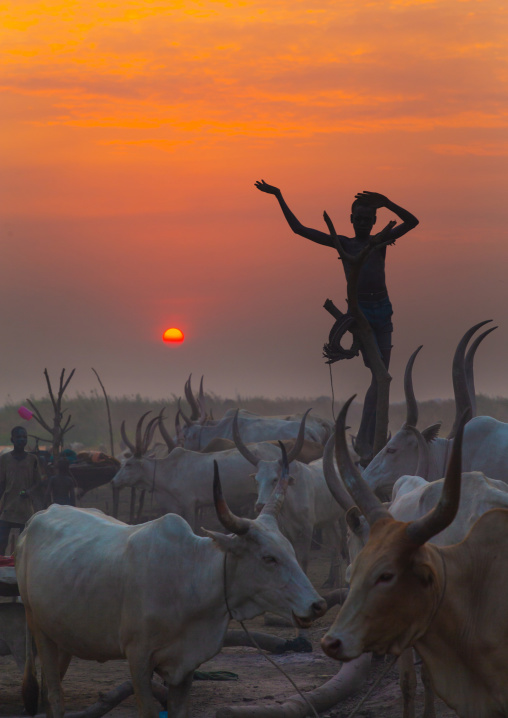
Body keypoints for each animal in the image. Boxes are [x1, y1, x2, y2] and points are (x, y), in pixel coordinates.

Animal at [17, 450, 327, 718]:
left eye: (290, 550)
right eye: (268, 558)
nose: (318, 605)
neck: (189, 577)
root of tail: (38, 515)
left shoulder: (185, 667)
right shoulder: (138, 658)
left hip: (64, 633)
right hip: (37, 627)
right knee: (54, 697)